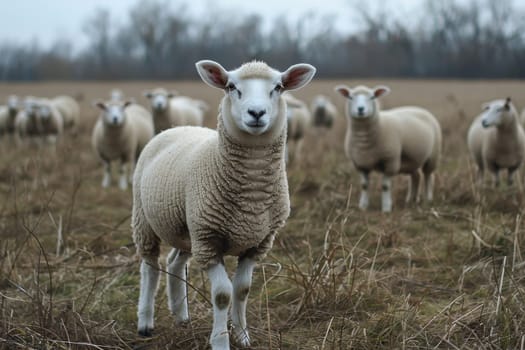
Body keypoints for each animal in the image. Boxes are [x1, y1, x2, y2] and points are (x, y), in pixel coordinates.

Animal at [132, 58, 316, 348]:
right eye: (231, 87)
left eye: (278, 87)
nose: (256, 112)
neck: (251, 196)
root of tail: (176, 127)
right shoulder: (209, 241)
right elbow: (222, 294)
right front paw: (220, 341)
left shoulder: (257, 243)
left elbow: (242, 290)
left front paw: (243, 336)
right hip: (145, 220)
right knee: (150, 267)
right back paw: (145, 323)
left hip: (187, 229)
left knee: (175, 263)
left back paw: (181, 316)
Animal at [334, 84, 440, 213]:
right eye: (350, 97)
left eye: (372, 97)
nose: (360, 109)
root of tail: (420, 109)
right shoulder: (361, 164)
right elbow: (364, 185)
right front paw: (363, 206)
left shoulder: (390, 161)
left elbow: (385, 186)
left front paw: (386, 208)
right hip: (412, 159)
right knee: (416, 176)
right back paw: (411, 200)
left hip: (433, 156)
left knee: (428, 176)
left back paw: (428, 199)